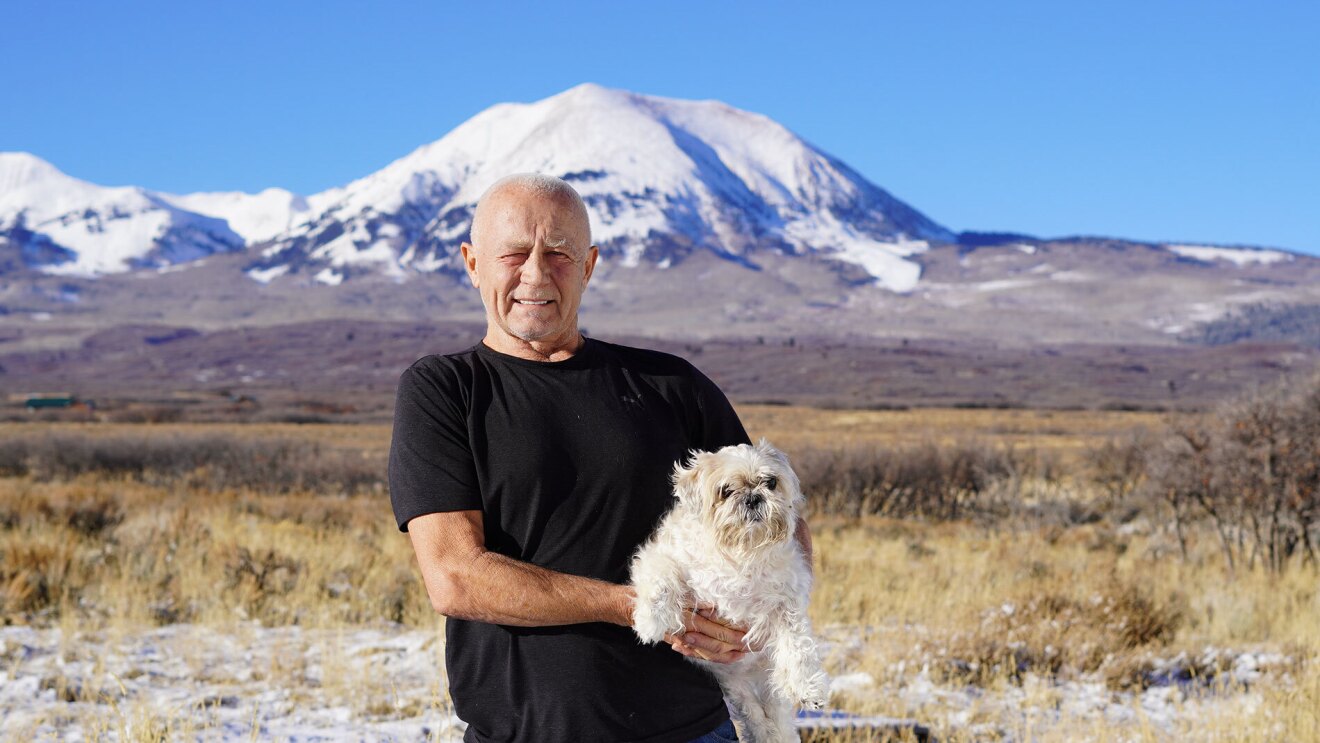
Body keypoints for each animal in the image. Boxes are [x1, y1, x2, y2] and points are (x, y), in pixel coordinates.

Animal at [628, 440, 823, 743]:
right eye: (726, 490)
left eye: (770, 482)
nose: (753, 497)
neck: (740, 552)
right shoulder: (662, 556)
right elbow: (661, 580)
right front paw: (650, 623)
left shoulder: (787, 602)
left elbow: (798, 648)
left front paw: (807, 690)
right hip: (736, 687)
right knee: (755, 716)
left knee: (773, 716)